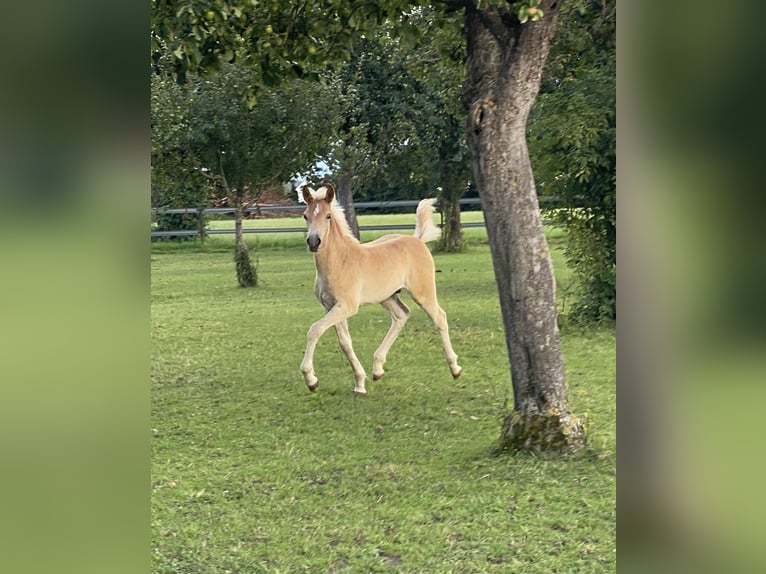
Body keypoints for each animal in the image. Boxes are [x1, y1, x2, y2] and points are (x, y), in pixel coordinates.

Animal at [296, 184, 460, 396]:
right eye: (305, 215)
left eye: (328, 216)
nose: (314, 242)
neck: (339, 261)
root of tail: (418, 241)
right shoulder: (330, 306)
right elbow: (345, 343)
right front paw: (359, 383)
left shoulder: (346, 306)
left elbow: (314, 330)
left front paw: (311, 379)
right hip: (388, 296)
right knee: (401, 315)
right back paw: (377, 370)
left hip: (423, 292)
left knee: (439, 317)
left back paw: (455, 369)